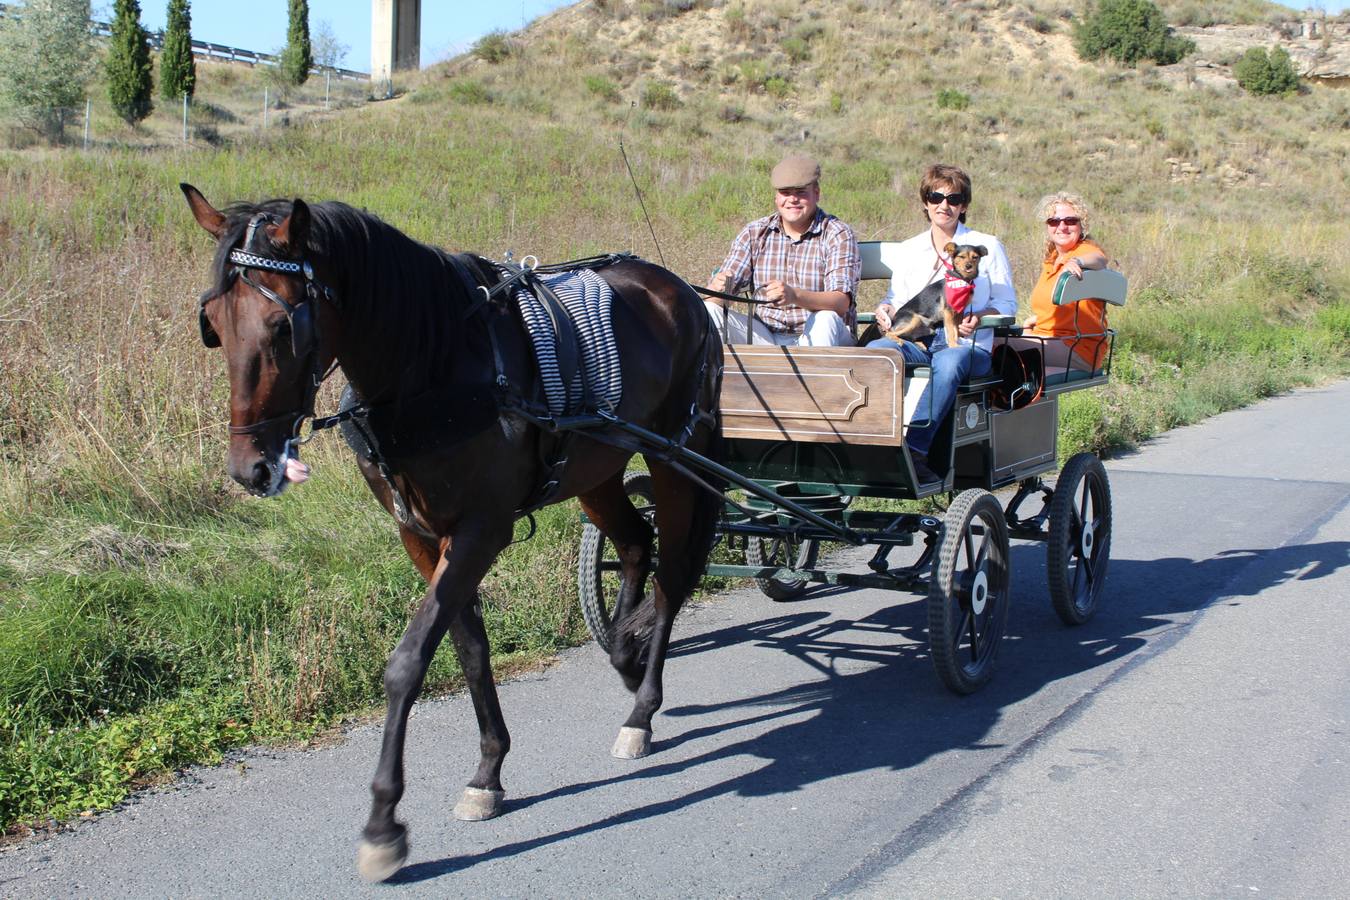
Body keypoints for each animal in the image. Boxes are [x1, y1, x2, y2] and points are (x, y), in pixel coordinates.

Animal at [184, 180, 729, 879]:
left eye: (283, 325)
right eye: (215, 323)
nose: (250, 468)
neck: (429, 368)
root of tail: (682, 292)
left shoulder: (482, 530)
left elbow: (409, 661)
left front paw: (384, 823)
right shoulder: (419, 534)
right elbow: (469, 649)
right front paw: (488, 771)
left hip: (677, 456)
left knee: (672, 575)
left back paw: (642, 706)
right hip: (599, 465)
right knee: (635, 544)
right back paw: (625, 662)